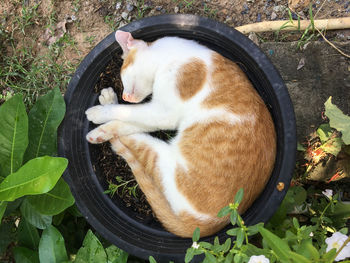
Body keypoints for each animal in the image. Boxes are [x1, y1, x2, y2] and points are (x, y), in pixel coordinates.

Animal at [85, 29, 276, 238]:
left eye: (122, 75)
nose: (125, 96)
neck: (171, 55)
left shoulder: (163, 111)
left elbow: (126, 113)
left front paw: (100, 112)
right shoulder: (162, 116)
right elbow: (130, 122)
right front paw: (106, 121)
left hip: (164, 159)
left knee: (135, 142)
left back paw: (104, 122)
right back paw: (102, 131)